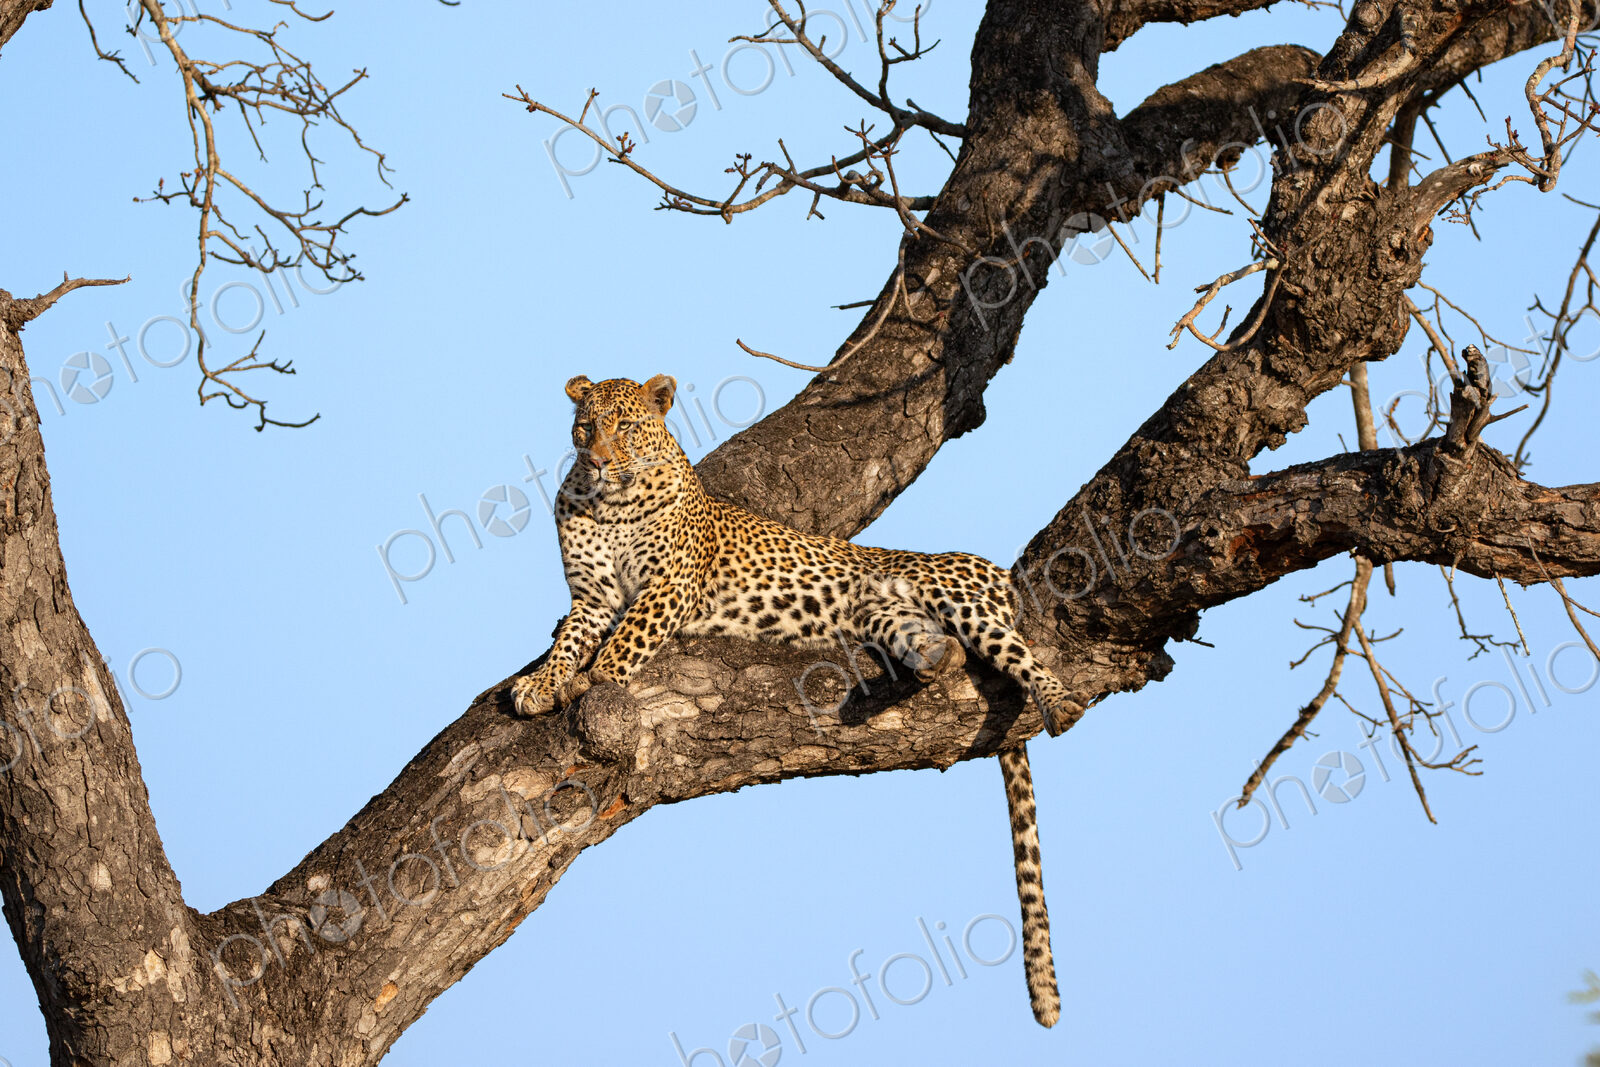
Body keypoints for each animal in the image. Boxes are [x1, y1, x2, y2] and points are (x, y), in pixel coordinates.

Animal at [511, 373, 1076, 1028]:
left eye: (625, 427)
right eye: (585, 427)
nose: (598, 459)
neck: (607, 504)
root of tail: (994, 573)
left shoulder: (665, 588)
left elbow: (623, 644)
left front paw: (591, 680)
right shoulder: (592, 599)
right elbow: (567, 643)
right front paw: (540, 684)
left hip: (954, 594)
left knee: (1020, 651)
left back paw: (1060, 702)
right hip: (886, 615)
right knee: (947, 649)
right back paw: (937, 661)